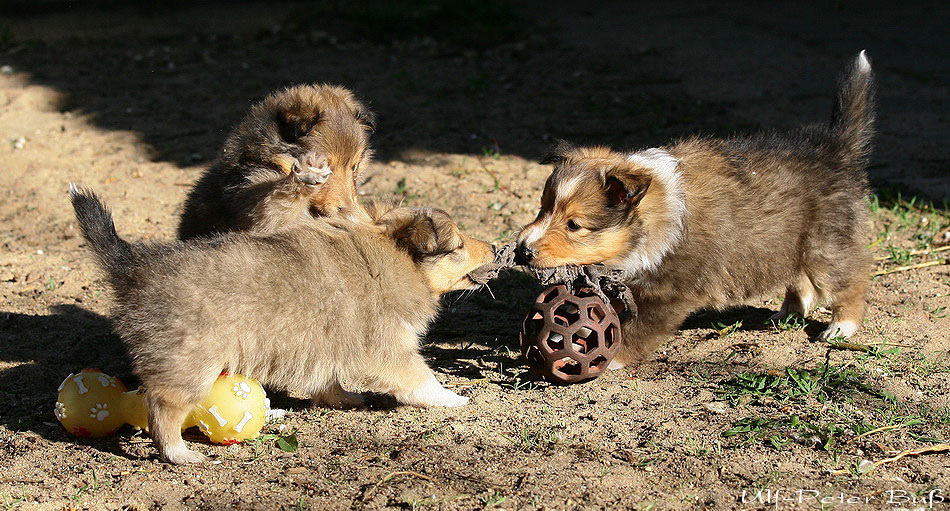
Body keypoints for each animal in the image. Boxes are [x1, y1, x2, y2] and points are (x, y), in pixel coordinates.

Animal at [70, 187, 494, 464]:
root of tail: (134, 265)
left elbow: (327, 379)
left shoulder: (325, 346)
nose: (493, 246)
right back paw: (181, 454)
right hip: (190, 365)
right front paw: (453, 398)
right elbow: (422, 379)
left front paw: (344, 398)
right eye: (457, 246)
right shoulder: (390, 348)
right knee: (162, 408)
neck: (394, 256)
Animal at [520, 53, 876, 368]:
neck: (652, 219)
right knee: (800, 281)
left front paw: (611, 358)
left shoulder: (668, 295)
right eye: (542, 208)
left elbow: (636, 331)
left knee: (851, 281)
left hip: (826, 247)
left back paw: (841, 327)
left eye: (574, 225)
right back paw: (787, 312)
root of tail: (834, 149)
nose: (523, 250)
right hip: (787, 243)